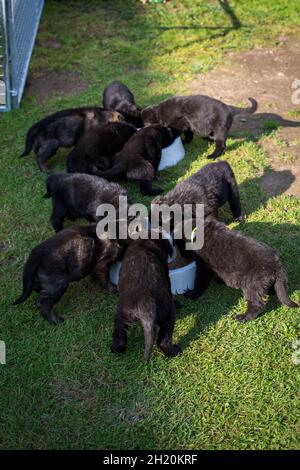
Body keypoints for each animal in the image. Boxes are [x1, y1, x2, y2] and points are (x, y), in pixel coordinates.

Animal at [110, 229, 180, 362]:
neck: (144, 241)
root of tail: (146, 305)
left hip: (121, 315)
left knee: (120, 337)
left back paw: (115, 349)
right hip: (169, 313)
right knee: (163, 340)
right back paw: (174, 351)